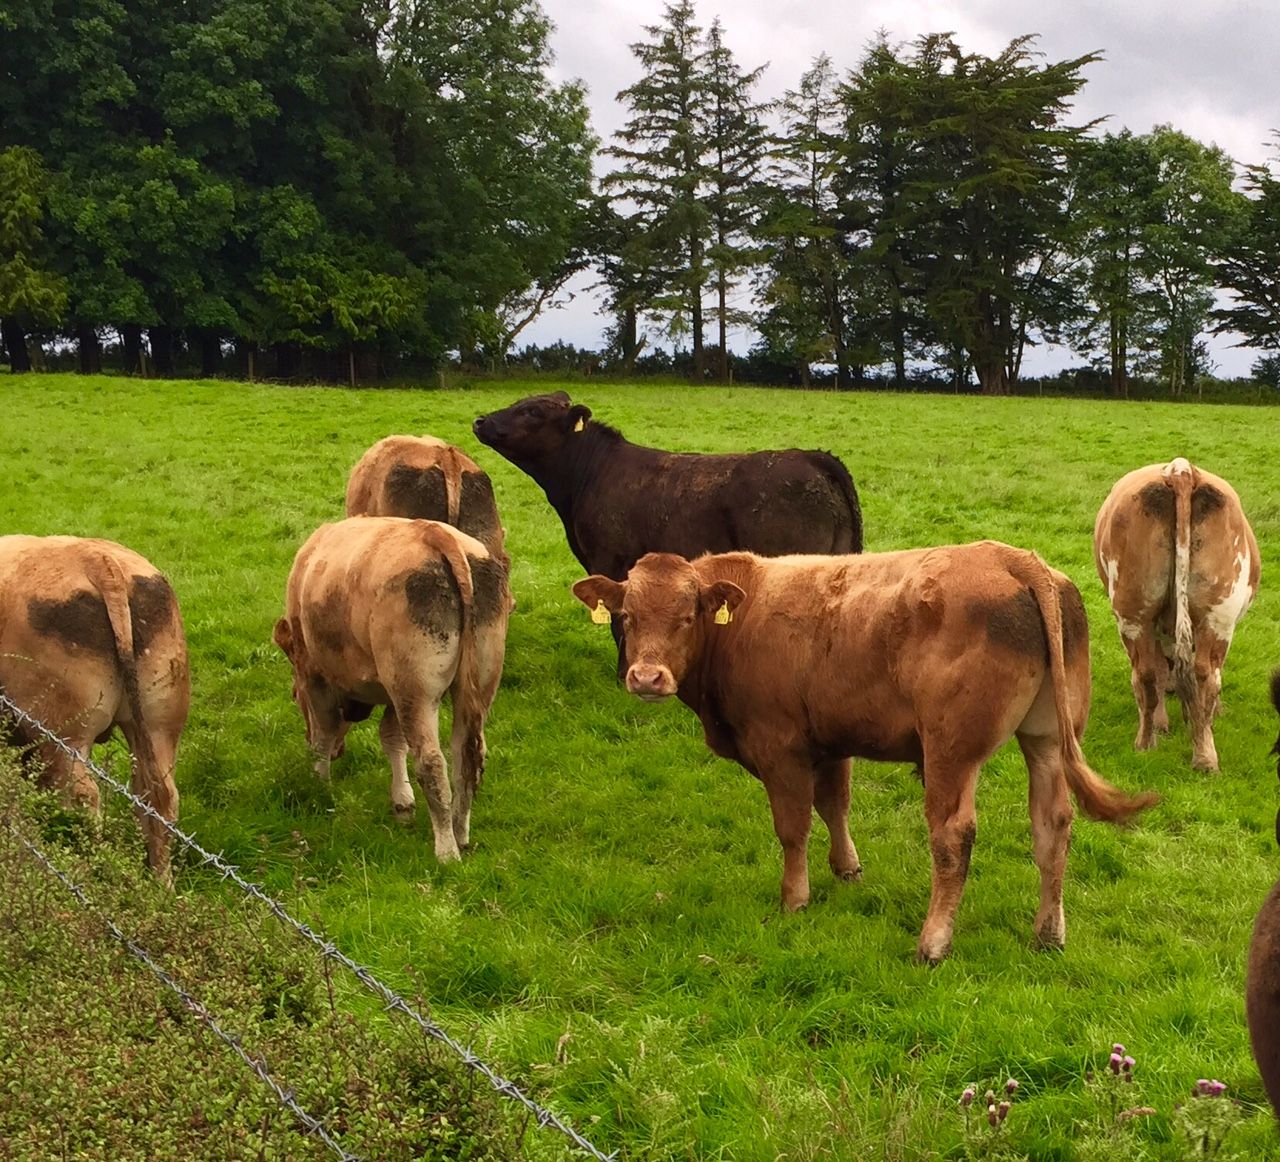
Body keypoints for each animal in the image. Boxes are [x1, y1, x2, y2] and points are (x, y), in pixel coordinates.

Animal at [0, 535, 189, 884]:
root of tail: (98, 561)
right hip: (159, 725)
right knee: (158, 798)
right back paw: (161, 886)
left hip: (63, 736)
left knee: (82, 800)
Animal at [273, 517, 510, 862]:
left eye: (294, 696)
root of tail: (437, 535)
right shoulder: (391, 692)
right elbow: (392, 737)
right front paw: (402, 800)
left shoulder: (314, 675)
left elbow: (324, 734)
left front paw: (319, 785)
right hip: (475, 683)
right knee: (466, 757)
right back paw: (460, 833)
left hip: (416, 693)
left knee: (432, 761)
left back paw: (446, 851)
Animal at [573, 542, 1157, 964]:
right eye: (626, 616)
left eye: (688, 614)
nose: (646, 677)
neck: (745, 615)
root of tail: (1014, 558)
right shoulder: (832, 741)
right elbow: (835, 805)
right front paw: (846, 869)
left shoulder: (780, 747)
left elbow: (793, 828)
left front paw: (795, 898)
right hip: (1046, 739)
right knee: (1053, 824)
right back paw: (1047, 934)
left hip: (950, 752)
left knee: (953, 838)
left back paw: (933, 942)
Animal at [1094, 458, 1259, 772]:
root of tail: (1180, 469)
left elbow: (1162, 668)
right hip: (1214, 616)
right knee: (1204, 674)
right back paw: (1196, 752)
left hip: (1137, 613)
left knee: (1150, 672)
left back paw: (1157, 745)